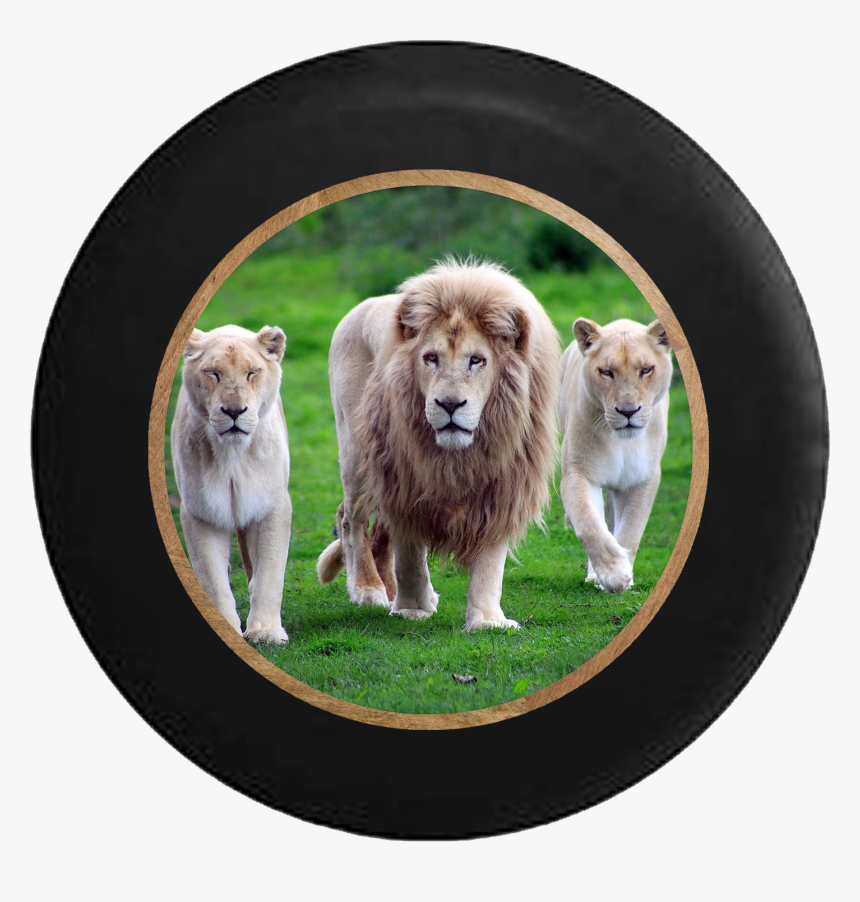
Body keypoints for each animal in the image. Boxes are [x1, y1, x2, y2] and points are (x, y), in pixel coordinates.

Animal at [171, 324, 292, 643]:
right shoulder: (202, 512)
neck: (233, 455)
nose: (235, 411)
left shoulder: (272, 505)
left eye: (252, 373)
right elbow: (213, 579)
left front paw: (266, 632)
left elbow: (270, 573)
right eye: (213, 373)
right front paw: (226, 627)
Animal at [316, 259, 560, 630]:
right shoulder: (404, 483)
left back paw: (390, 590)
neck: (458, 456)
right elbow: (410, 555)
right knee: (351, 519)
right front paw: (413, 609)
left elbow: (490, 562)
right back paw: (368, 590)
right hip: (358, 452)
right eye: (430, 358)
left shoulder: (503, 487)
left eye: (476, 360)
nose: (449, 404)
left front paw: (487, 621)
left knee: (379, 532)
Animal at [558, 317, 673, 593]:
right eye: (606, 372)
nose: (628, 411)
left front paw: (625, 576)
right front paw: (614, 574)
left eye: (646, 370)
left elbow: (631, 530)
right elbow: (589, 525)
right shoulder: (578, 473)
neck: (622, 443)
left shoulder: (642, 479)